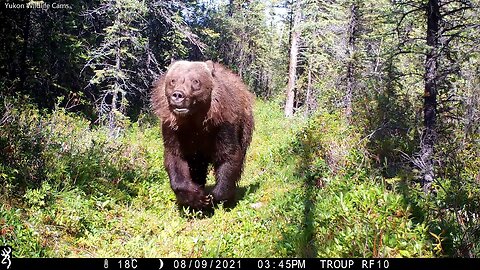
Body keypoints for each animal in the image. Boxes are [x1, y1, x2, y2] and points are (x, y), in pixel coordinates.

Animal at [152, 60, 255, 209]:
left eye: (196, 81)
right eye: (173, 80)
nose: (178, 95)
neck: (194, 120)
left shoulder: (223, 125)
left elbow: (229, 155)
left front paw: (214, 197)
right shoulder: (174, 130)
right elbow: (175, 158)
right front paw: (196, 197)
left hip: (245, 128)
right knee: (197, 166)